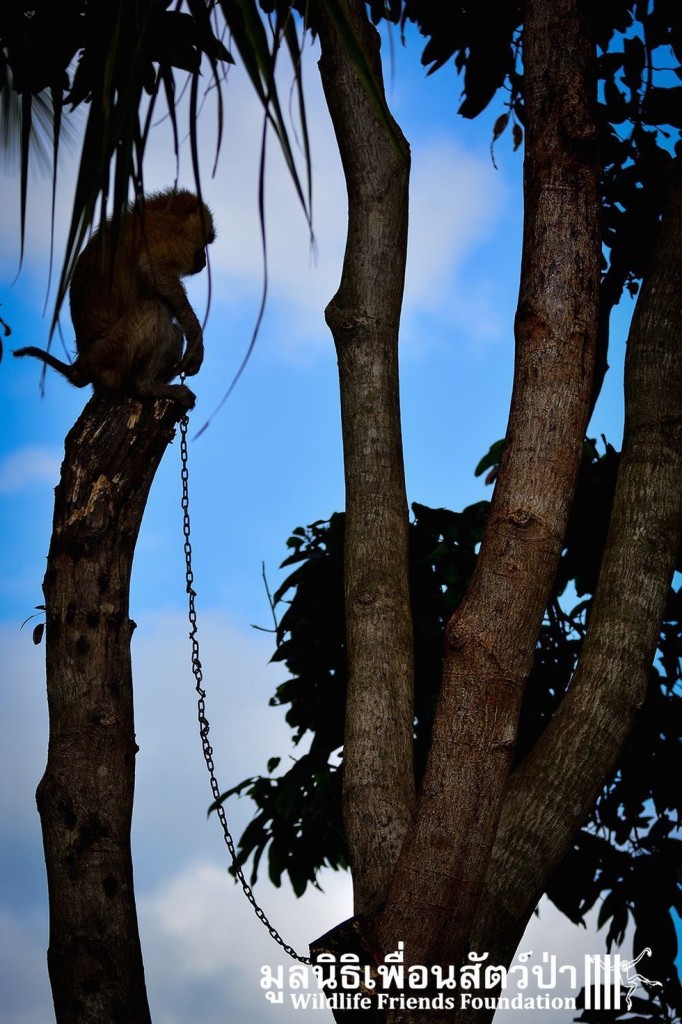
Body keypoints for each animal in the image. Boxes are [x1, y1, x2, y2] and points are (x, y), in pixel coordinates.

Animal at [13, 188, 215, 403]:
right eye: (203, 244)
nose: (203, 260)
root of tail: (82, 364)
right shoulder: (166, 238)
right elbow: (155, 270)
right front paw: (195, 341)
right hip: (113, 352)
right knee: (155, 307)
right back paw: (145, 387)